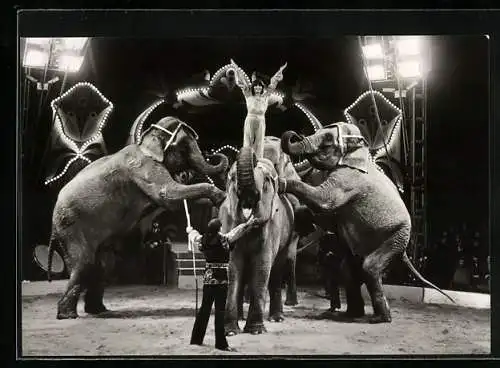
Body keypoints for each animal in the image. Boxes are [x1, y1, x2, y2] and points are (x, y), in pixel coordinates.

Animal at [46, 117, 227, 320]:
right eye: (184, 146)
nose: (213, 154)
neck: (145, 142)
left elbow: (176, 202)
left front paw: (217, 203)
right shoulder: (143, 167)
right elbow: (167, 195)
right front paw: (222, 196)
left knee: (104, 265)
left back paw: (98, 310)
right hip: (70, 226)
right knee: (84, 264)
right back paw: (68, 316)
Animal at [222, 137, 300, 334]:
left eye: (266, 180)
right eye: (232, 178)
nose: (254, 157)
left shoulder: (273, 225)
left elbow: (262, 265)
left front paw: (256, 330)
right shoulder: (229, 220)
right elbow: (233, 267)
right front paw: (230, 331)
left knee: (277, 269)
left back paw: (277, 318)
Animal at [280, 122, 456, 324]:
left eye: (328, 140)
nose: (295, 134)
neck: (359, 151)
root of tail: (405, 252)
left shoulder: (348, 179)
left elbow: (324, 201)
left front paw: (281, 183)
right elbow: (329, 217)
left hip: (396, 236)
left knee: (370, 268)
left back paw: (380, 319)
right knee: (349, 271)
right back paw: (351, 314)